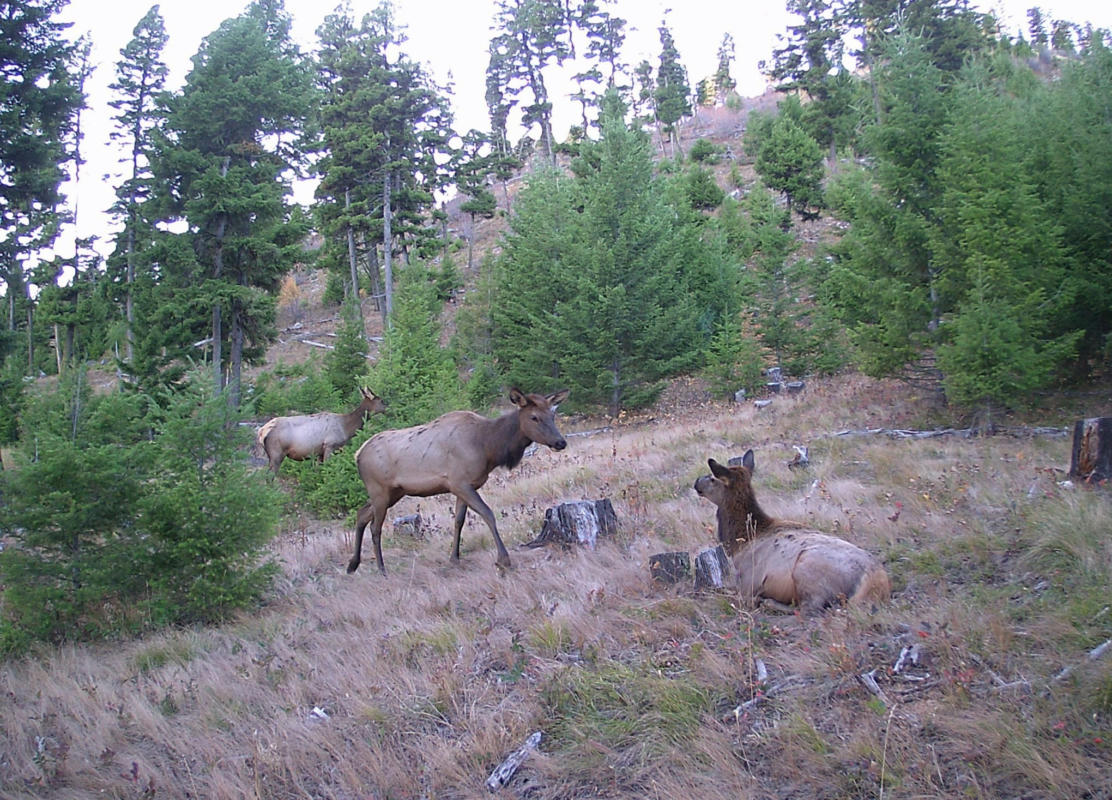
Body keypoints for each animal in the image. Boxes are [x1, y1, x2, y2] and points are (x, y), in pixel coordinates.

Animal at [256, 387, 386, 476]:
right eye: (381, 400)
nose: (387, 407)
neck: (346, 427)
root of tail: (262, 432)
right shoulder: (330, 445)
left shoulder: (319, 452)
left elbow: (319, 470)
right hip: (276, 453)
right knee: (269, 476)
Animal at [349, 387, 573, 574]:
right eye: (534, 417)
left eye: (552, 415)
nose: (560, 442)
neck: (489, 447)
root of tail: (357, 455)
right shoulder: (459, 483)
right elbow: (488, 514)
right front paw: (503, 559)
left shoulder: (465, 485)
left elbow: (459, 521)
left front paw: (454, 558)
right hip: (379, 489)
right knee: (375, 528)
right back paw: (381, 569)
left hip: (394, 492)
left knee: (362, 514)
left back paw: (353, 565)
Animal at [689, 449, 889, 614]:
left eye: (713, 478)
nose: (696, 481)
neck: (742, 540)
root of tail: (877, 579)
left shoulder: (748, 583)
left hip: (807, 568)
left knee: (810, 609)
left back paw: (769, 602)